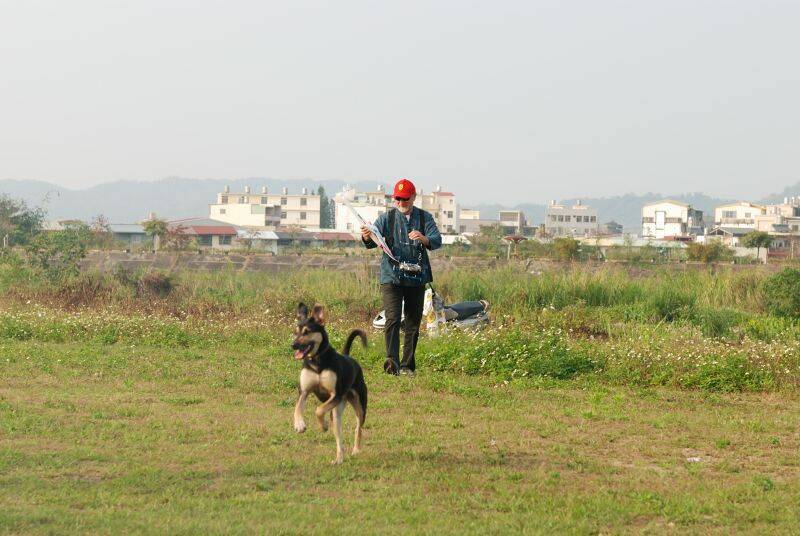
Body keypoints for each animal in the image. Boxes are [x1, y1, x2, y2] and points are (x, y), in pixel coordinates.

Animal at [290, 304, 368, 462]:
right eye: (296, 332)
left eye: (307, 332)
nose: (293, 345)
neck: (317, 361)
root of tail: (349, 358)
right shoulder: (304, 391)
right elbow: (297, 408)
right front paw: (299, 425)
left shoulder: (335, 395)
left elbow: (318, 410)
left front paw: (323, 426)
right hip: (337, 412)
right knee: (339, 436)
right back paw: (339, 458)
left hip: (359, 404)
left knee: (358, 427)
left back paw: (356, 450)